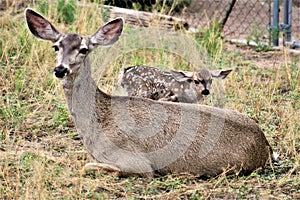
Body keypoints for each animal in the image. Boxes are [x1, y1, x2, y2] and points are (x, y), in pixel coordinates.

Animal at [25, 7, 274, 177]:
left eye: (84, 49)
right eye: (56, 46)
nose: (60, 69)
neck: (97, 123)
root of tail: (264, 146)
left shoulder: (137, 162)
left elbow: (87, 166)